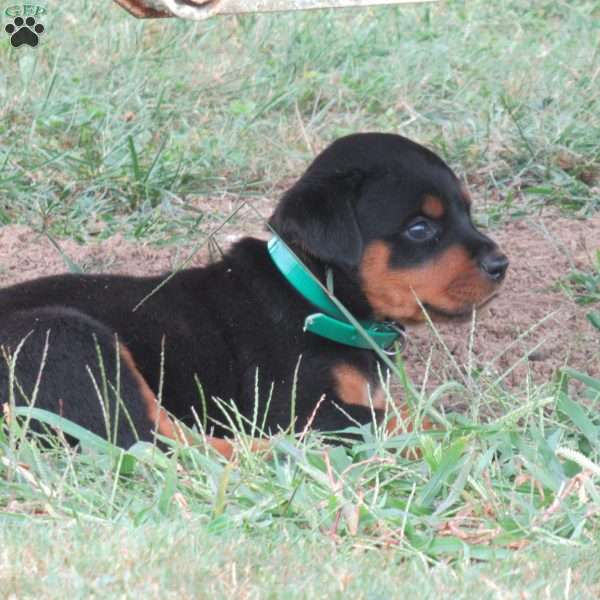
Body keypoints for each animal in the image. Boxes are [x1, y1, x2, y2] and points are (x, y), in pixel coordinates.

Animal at [0, 131, 506, 450]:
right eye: (420, 229)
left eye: (467, 212)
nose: (502, 264)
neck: (312, 299)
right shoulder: (303, 406)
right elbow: (394, 419)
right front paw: (472, 432)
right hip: (69, 340)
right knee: (151, 444)